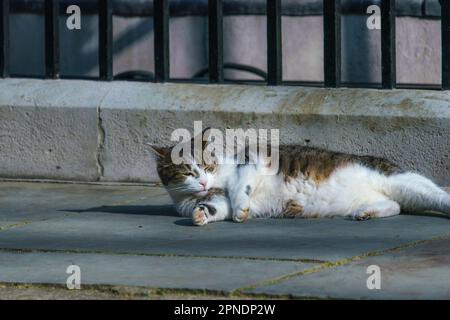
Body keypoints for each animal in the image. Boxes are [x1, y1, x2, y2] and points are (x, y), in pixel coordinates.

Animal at [149, 129, 450, 225]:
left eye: (206, 166)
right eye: (186, 172)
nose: (202, 182)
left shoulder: (251, 162)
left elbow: (238, 188)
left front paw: (241, 207)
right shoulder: (215, 199)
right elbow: (215, 207)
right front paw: (200, 214)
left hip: (402, 181)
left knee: (438, 196)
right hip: (390, 195)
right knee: (396, 205)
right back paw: (366, 212)